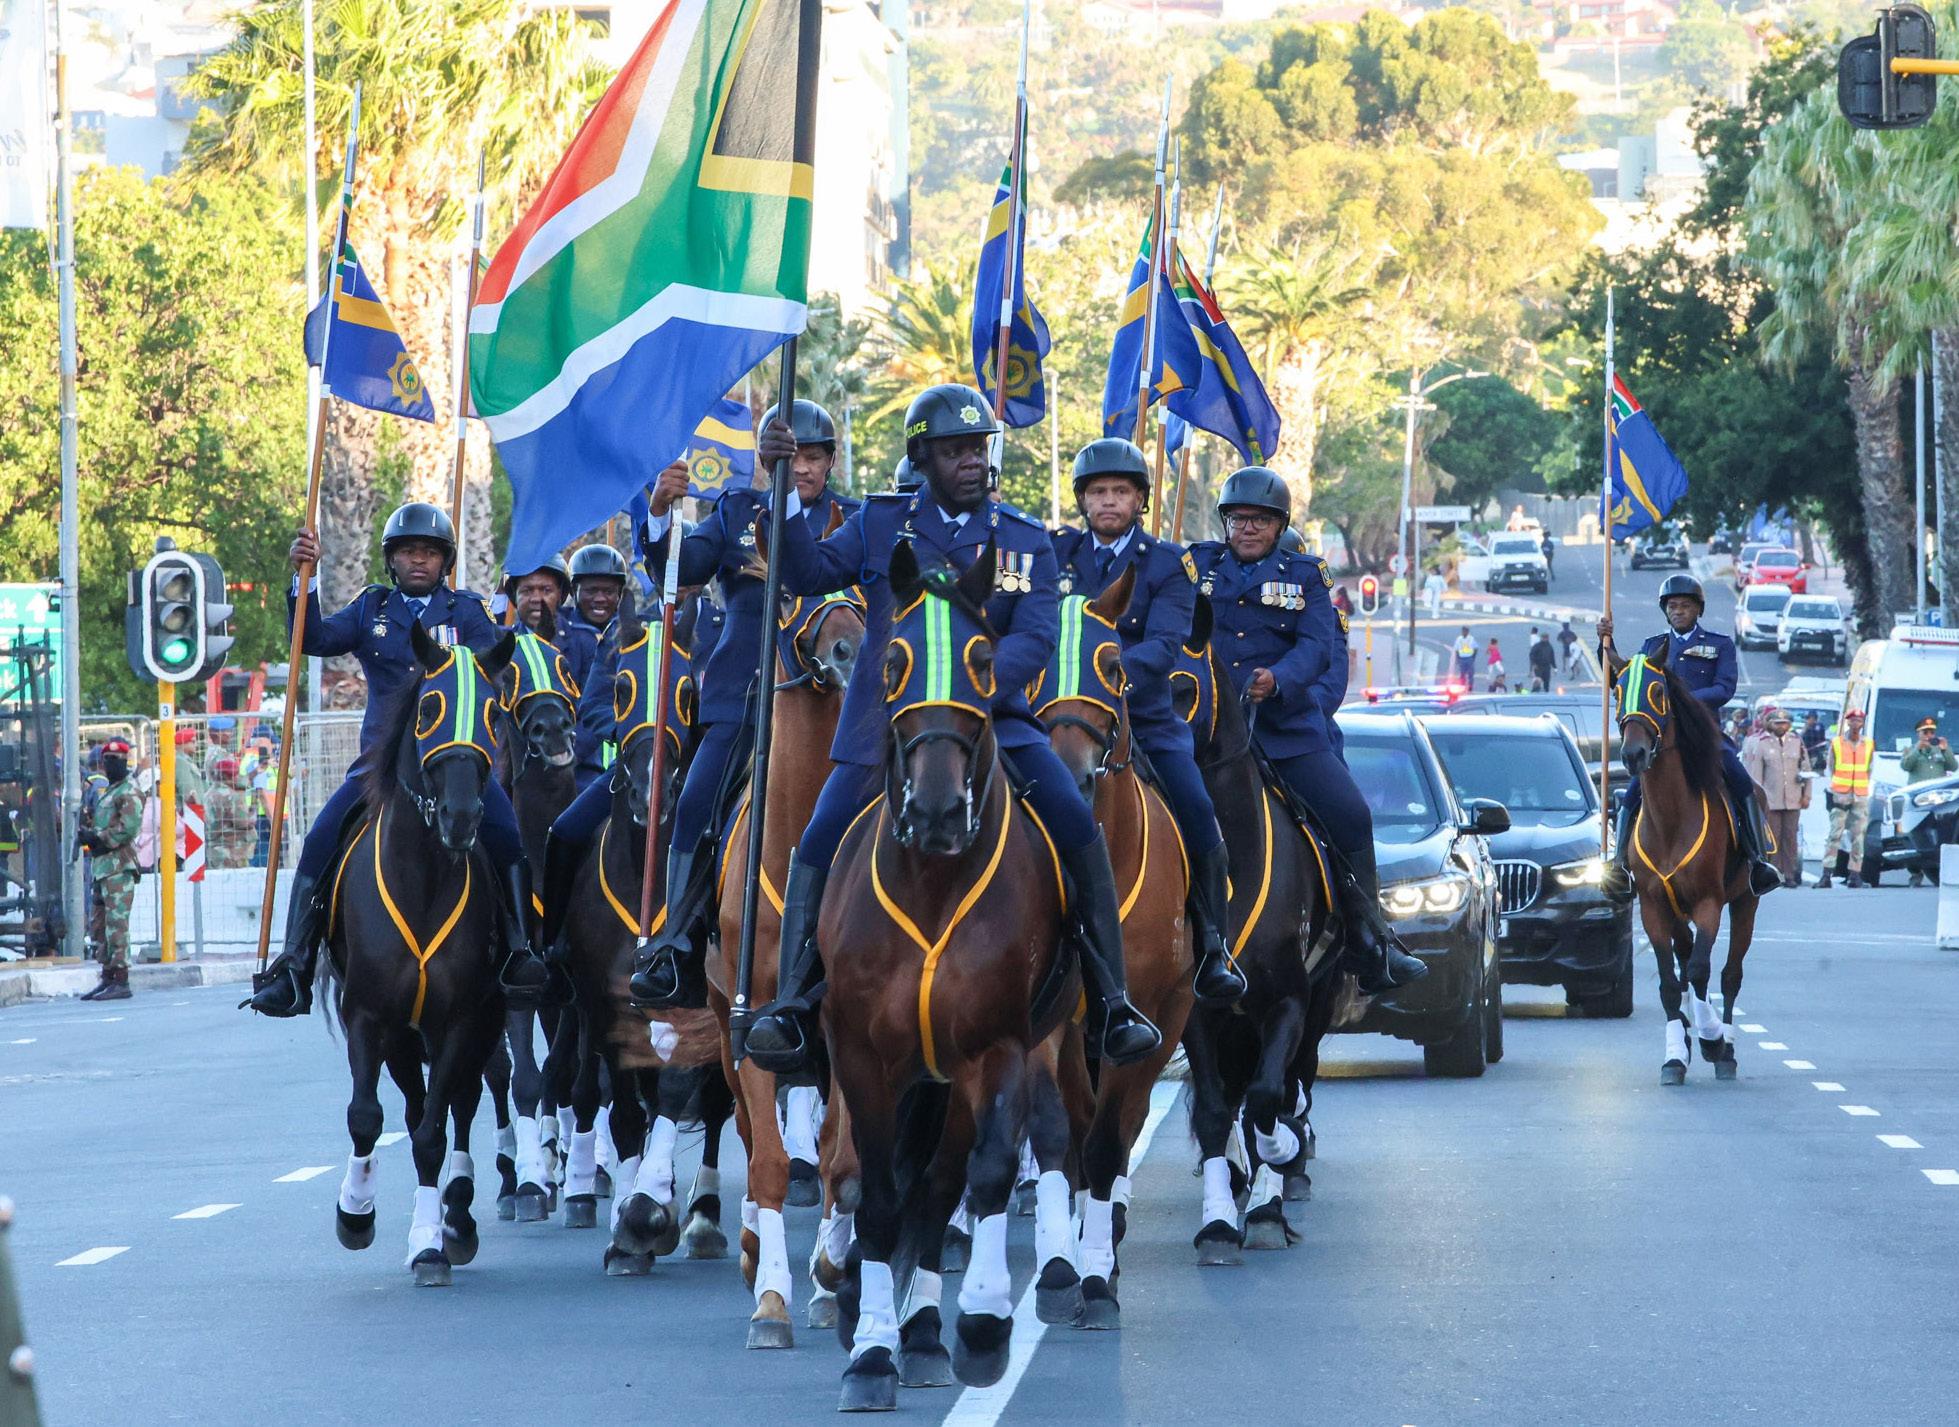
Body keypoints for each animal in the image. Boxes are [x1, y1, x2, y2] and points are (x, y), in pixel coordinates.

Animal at [318, 623, 518, 1287]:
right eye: (428, 708)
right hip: (406, 1035)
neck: (424, 878)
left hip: (481, 1021)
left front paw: (431, 1241)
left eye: (491, 712)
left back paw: (458, 1214)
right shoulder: (369, 1016)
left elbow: (433, 1130)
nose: (461, 816)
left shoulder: (460, 1019)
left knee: (462, 1101)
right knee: (412, 1106)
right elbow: (366, 1116)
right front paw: (355, 1214)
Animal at [558, 595, 736, 1272]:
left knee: (714, 1104)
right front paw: (631, 1228)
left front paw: (648, 1209)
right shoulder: (603, 1008)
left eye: (688, 691)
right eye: (621, 686)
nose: (648, 792)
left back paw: (703, 1217)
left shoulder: (695, 1006)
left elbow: (681, 1094)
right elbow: (629, 1111)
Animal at [822, 542, 1077, 1412]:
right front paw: (868, 1352)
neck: (931, 881)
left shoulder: (995, 1048)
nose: (935, 810)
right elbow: (874, 1195)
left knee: (942, 1184)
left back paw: (932, 1331)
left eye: (983, 660)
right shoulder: (860, 1058)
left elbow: (988, 1173)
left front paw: (983, 1323)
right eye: (894, 660)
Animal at [1176, 615, 1338, 1263]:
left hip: (1318, 1008)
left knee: (1287, 1087)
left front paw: (1273, 1188)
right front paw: (1219, 1223)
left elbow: (1271, 1099)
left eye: (1182, 687)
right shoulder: (1197, 1012)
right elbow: (1217, 1111)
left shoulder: (1290, 1002)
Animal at [1613, 654, 1758, 1085]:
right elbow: (1668, 982)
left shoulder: (1710, 903)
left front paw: (1712, 1040)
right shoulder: (1652, 907)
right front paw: (1676, 1055)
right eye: (1617, 690)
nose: (1633, 754)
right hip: (1676, 911)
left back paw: (1725, 1049)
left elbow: (1698, 971)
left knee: (1728, 974)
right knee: (1686, 959)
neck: (1671, 819)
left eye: (1658, 691)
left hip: (1745, 902)